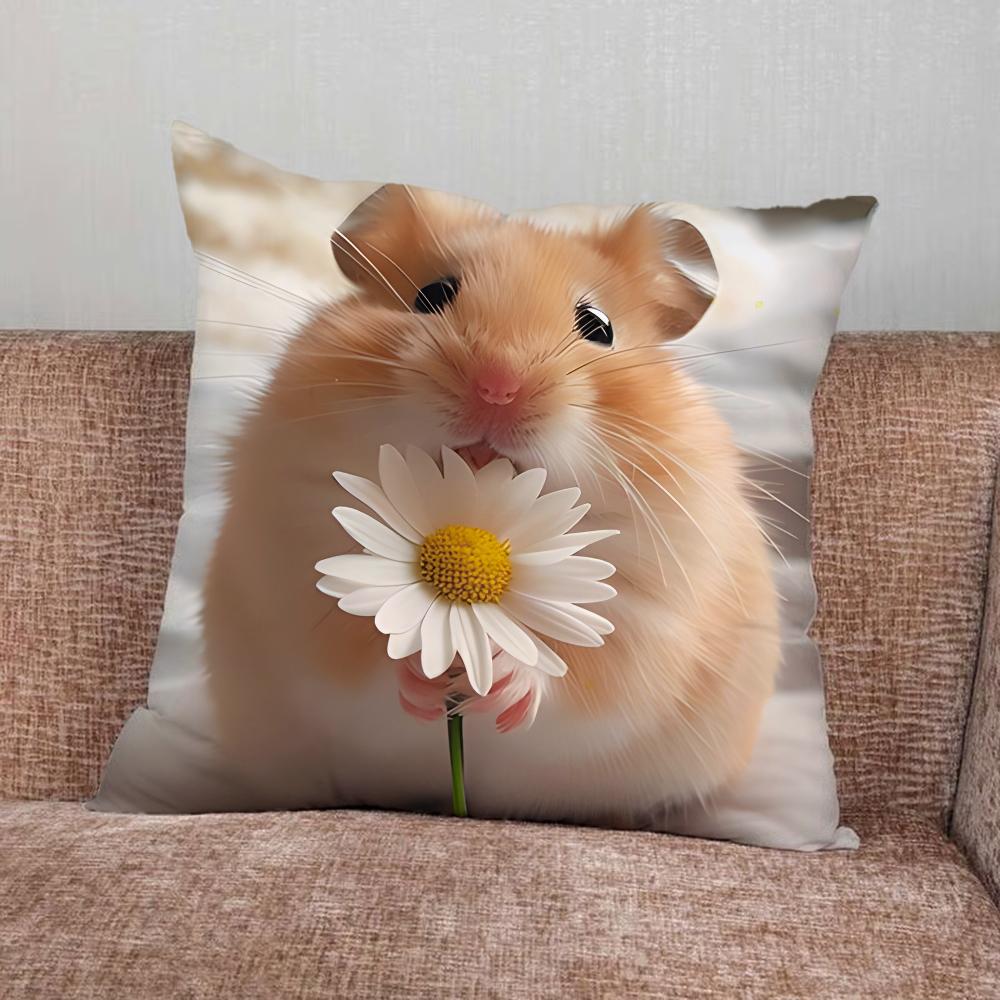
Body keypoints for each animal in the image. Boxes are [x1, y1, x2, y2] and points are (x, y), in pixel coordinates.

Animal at [200, 184, 781, 824]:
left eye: (599, 327)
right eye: (432, 295)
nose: (497, 387)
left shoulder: (646, 619)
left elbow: (572, 676)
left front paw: (499, 679)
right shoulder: (300, 563)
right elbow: (365, 655)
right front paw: (427, 678)